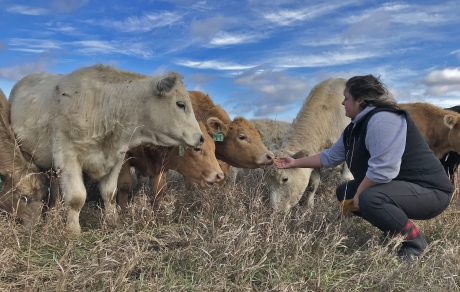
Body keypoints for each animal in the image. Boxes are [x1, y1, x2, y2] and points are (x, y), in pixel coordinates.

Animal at [8, 64, 203, 233]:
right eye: (180, 104)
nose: (200, 138)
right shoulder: (67, 157)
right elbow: (76, 197)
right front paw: (72, 230)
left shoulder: (117, 158)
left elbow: (109, 193)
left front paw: (112, 220)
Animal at [262, 78, 352, 211]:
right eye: (267, 180)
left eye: (285, 179)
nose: (274, 209)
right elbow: (313, 184)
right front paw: (309, 207)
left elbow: (346, 183)